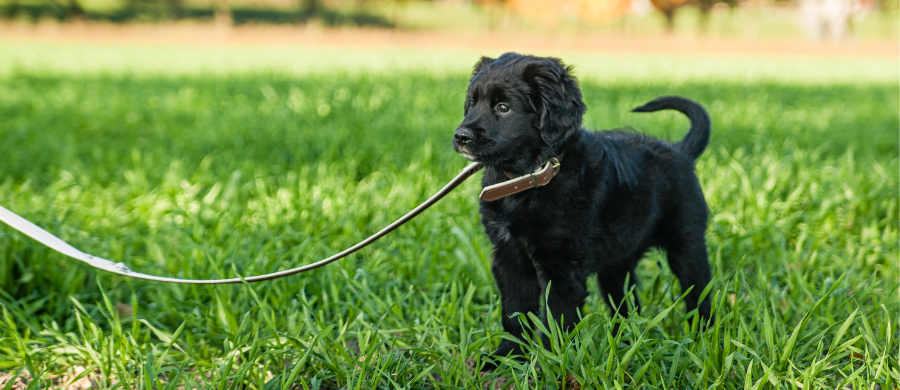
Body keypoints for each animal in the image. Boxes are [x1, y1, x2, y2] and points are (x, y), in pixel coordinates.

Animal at [454, 52, 712, 368]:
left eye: (503, 108)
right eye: (471, 102)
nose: (460, 136)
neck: (530, 178)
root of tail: (680, 151)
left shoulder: (561, 267)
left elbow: (556, 319)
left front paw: (549, 364)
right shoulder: (509, 257)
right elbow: (516, 312)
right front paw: (507, 357)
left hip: (686, 245)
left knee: (699, 294)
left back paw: (702, 337)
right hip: (618, 262)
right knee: (626, 304)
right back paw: (624, 343)